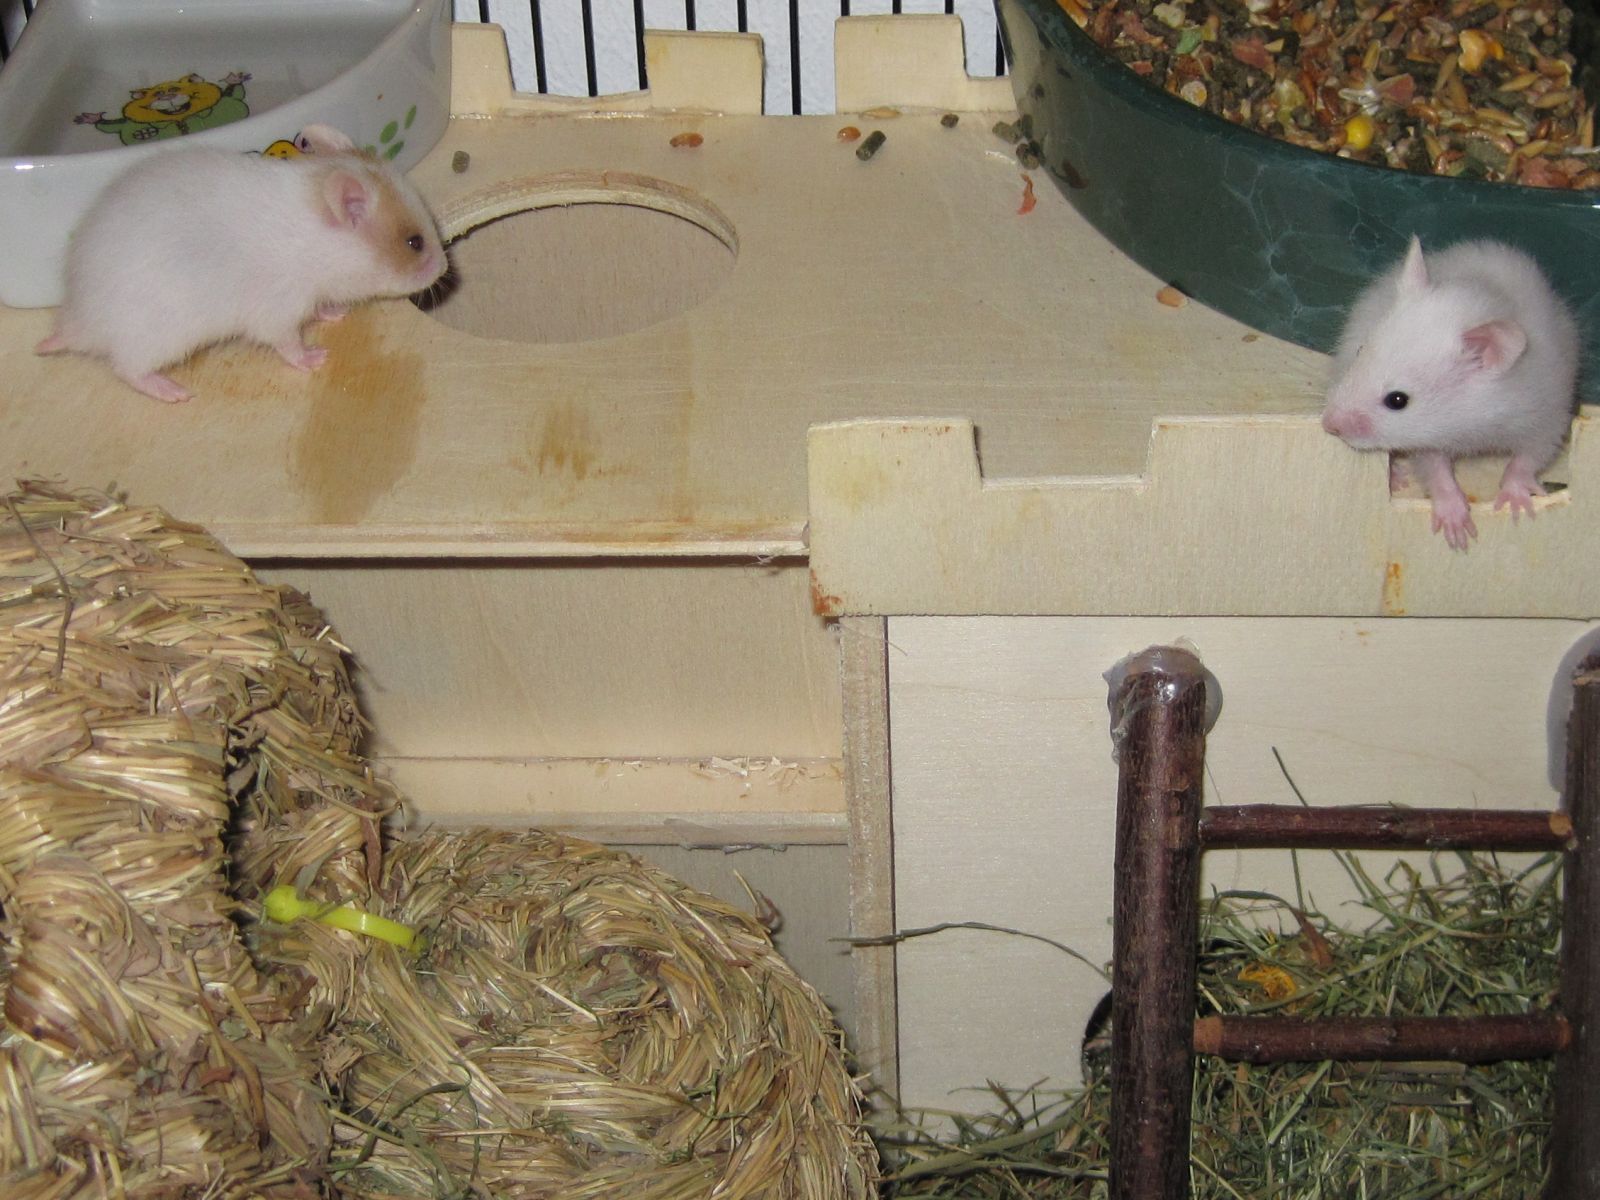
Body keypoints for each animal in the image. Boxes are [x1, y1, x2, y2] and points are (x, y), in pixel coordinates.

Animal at [36, 124, 447, 403]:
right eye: (414, 243)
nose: (445, 270)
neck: (319, 244)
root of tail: (77, 322)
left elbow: (319, 309)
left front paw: (337, 313)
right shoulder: (278, 310)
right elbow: (288, 344)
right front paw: (317, 358)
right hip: (154, 339)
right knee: (126, 369)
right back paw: (175, 392)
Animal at [1321, 236, 1579, 551]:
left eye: (1397, 400)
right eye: (1360, 352)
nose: (1327, 424)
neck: (1470, 422)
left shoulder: (1548, 417)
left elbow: (1527, 459)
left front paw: (1516, 507)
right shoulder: (1427, 442)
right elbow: (1437, 470)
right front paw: (1458, 533)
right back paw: (1397, 477)